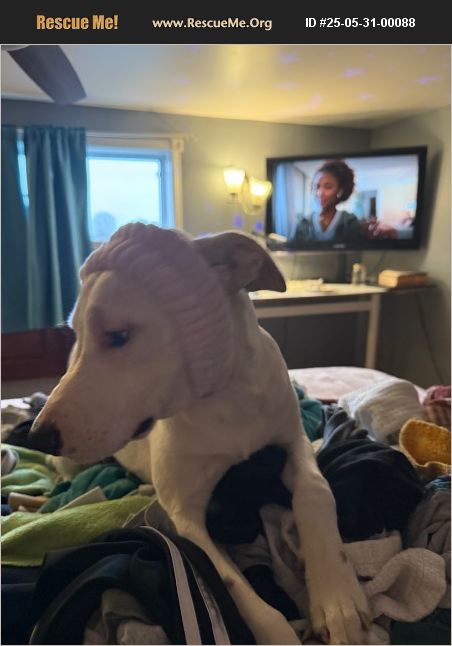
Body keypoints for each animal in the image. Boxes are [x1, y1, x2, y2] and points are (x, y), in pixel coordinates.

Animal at [29, 223, 370, 644]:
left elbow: (315, 492)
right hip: (71, 462)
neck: (226, 402)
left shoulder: (295, 440)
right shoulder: (187, 517)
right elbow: (240, 590)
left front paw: (337, 596)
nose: (36, 435)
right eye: (78, 333)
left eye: (118, 335)